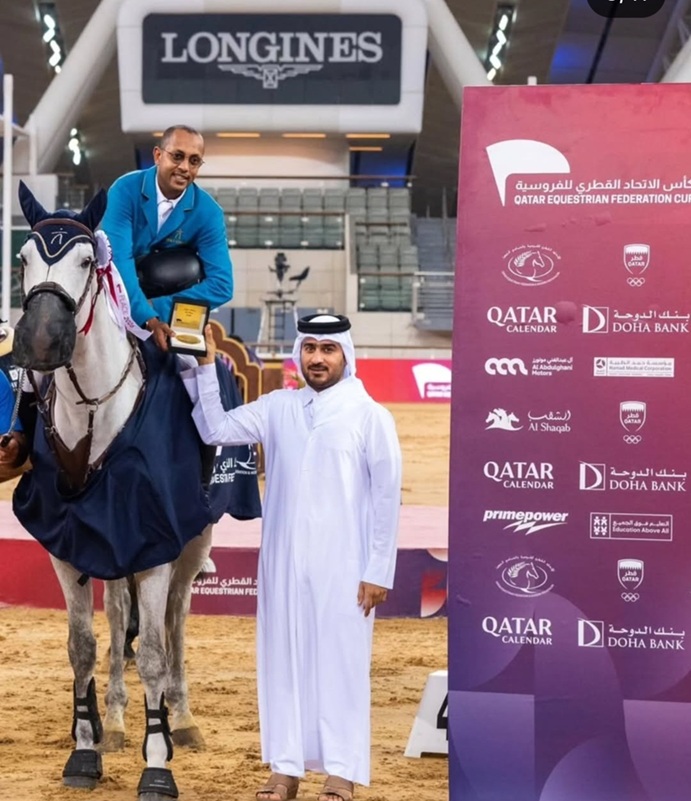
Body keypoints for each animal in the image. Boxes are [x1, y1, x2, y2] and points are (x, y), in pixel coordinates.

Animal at [10, 182, 231, 800]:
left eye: (89, 262)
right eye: (23, 259)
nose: (39, 343)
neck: (93, 406)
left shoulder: (153, 540)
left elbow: (154, 651)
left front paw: (157, 764)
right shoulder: (72, 545)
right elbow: (83, 646)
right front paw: (85, 749)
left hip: (192, 542)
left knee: (175, 622)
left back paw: (181, 718)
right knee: (116, 617)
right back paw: (111, 718)